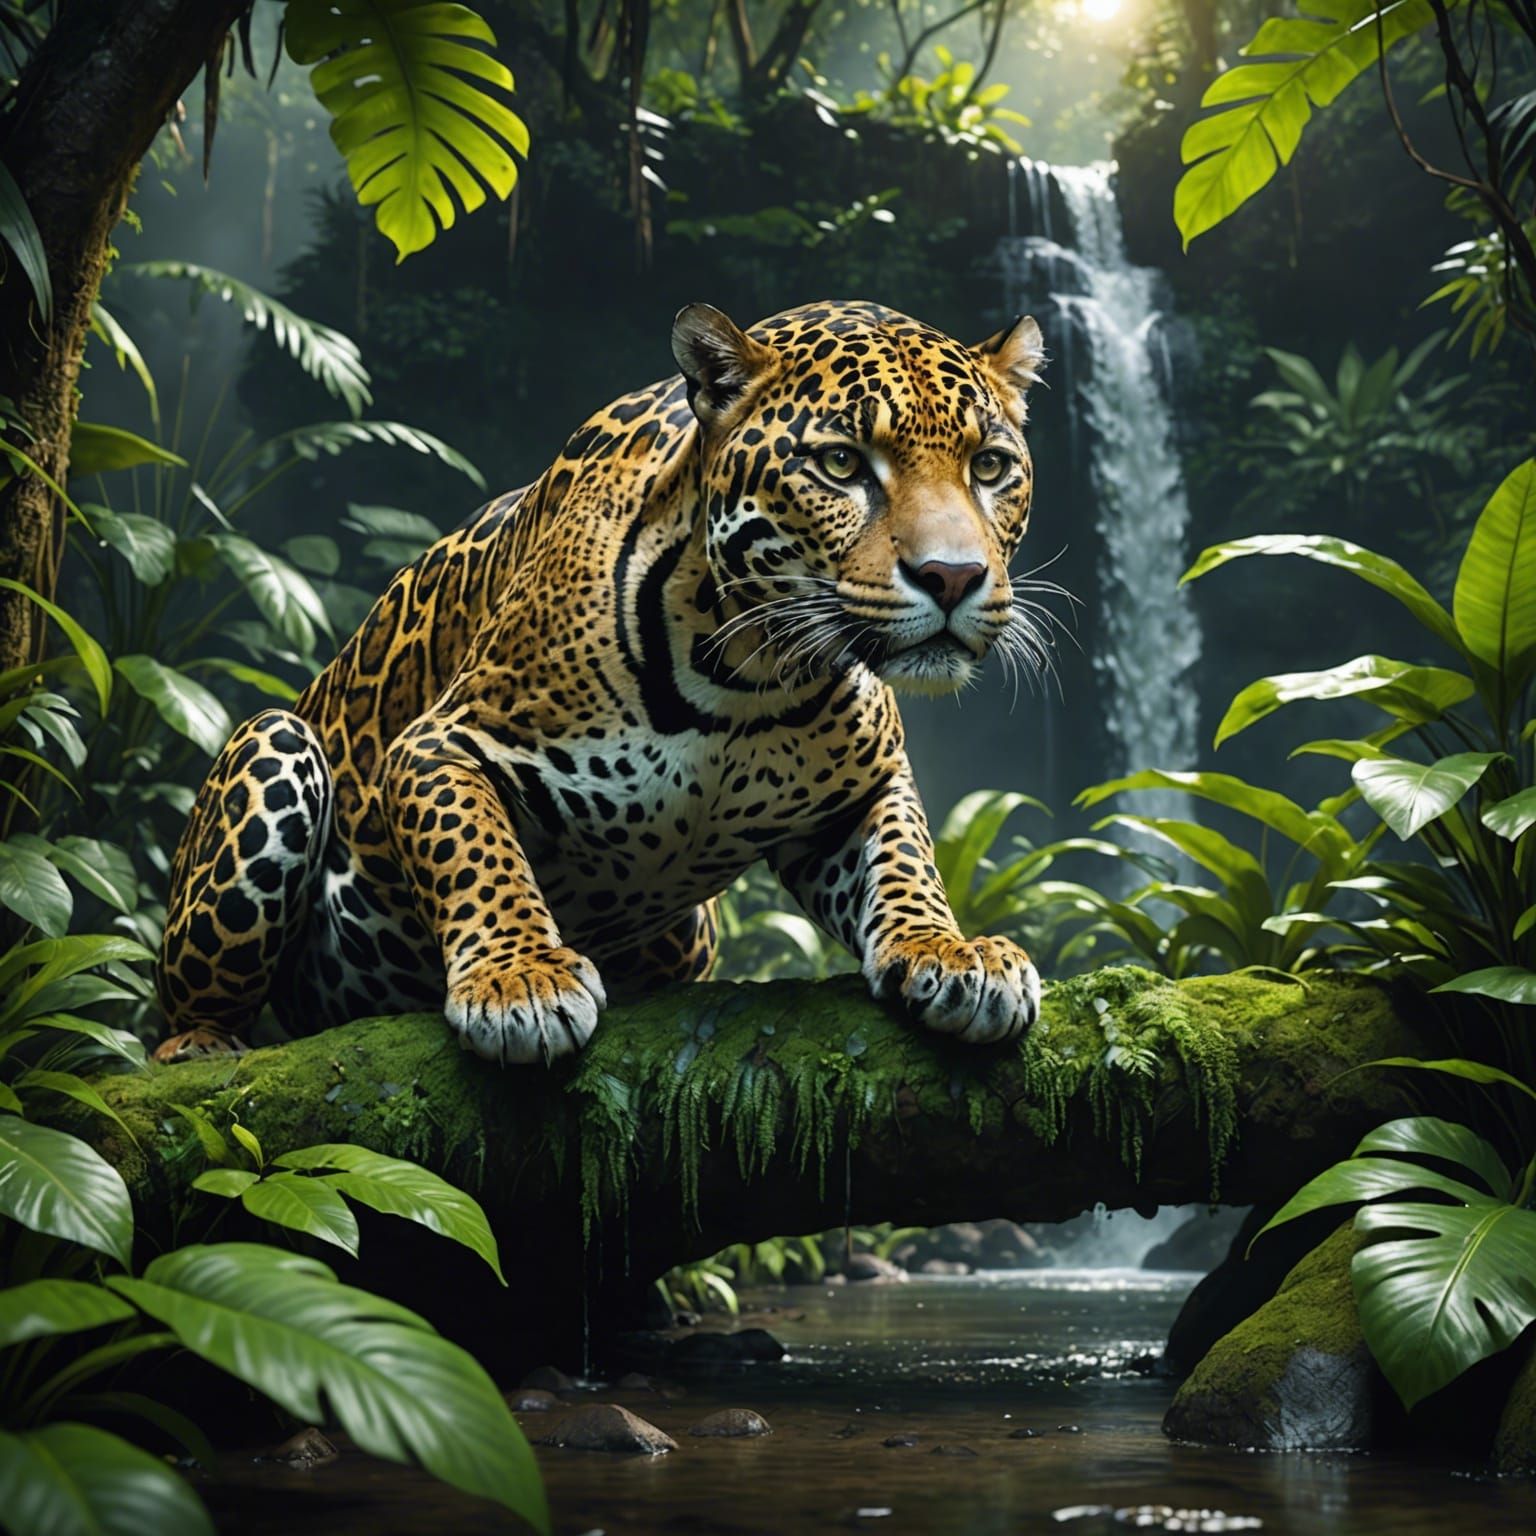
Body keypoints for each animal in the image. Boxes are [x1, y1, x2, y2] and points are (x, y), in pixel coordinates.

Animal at [154, 299, 1049, 1067]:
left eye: (990, 466)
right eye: (839, 464)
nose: (952, 576)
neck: (745, 676)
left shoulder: (860, 792)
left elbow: (905, 859)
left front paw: (949, 950)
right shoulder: (438, 745)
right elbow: (478, 855)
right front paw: (519, 976)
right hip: (273, 746)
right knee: (194, 1002)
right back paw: (201, 1044)